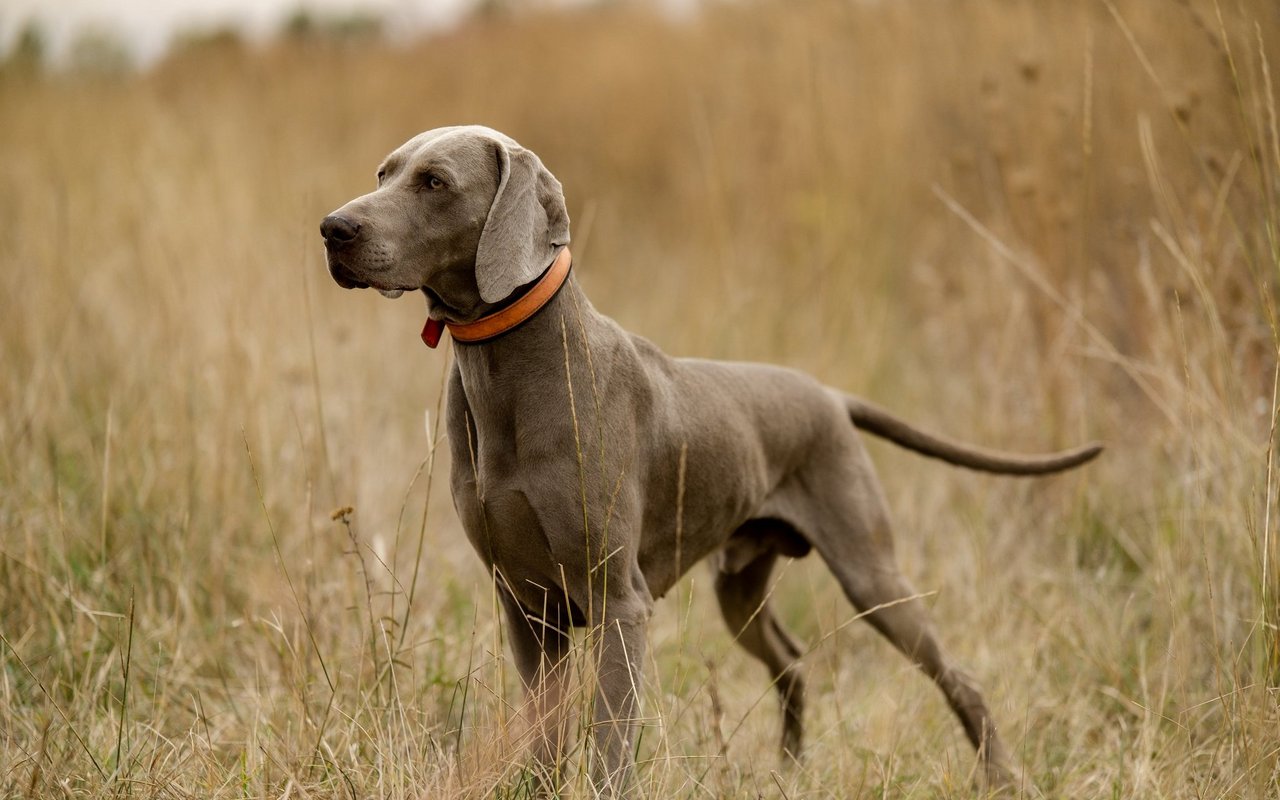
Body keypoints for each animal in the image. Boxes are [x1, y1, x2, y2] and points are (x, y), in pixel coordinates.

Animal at [320, 124, 1100, 793]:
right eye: (384, 173)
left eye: (434, 182)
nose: (333, 228)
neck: (507, 370)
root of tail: (830, 395)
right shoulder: (527, 607)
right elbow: (545, 733)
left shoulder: (619, 603)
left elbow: (608, 740)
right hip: (740, 586)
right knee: (793, 663)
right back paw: (789, 771)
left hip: (871, 574)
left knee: (956, 675)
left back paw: (1002, 777)